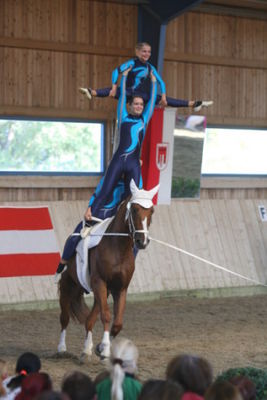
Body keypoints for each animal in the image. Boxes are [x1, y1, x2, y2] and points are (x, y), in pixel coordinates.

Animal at [57, 179, 160, 360]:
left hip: (103, 291)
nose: (142, 241)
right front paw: (104, 348)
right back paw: (61, 348)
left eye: (151, 211)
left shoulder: (120, 288)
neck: (118, 247)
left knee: (89, 319)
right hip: (68, 283)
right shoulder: (100, 282)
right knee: (65, 317)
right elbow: (106, 315)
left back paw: (87, 349)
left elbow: (117, 323)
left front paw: (101, 347)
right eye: (134, 209)